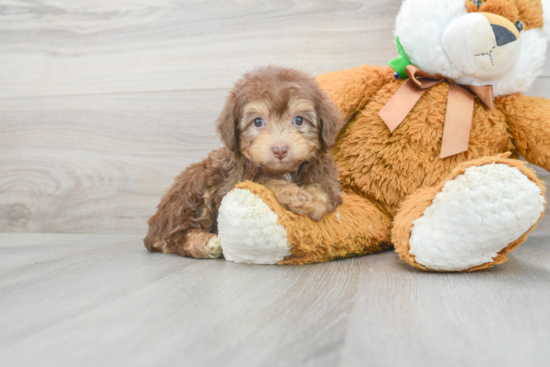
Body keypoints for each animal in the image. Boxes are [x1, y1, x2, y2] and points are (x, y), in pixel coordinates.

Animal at [144, 67, 342, 262]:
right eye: (258, 122)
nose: (279, 150)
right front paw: (293, 193)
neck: (283, 170)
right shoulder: (234, 180)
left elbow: (324, 192)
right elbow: (266, 182)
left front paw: (309, 200)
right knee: (170, 237)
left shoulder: (326, 176)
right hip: (193, 187)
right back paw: (204, 243)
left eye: (299, 120)